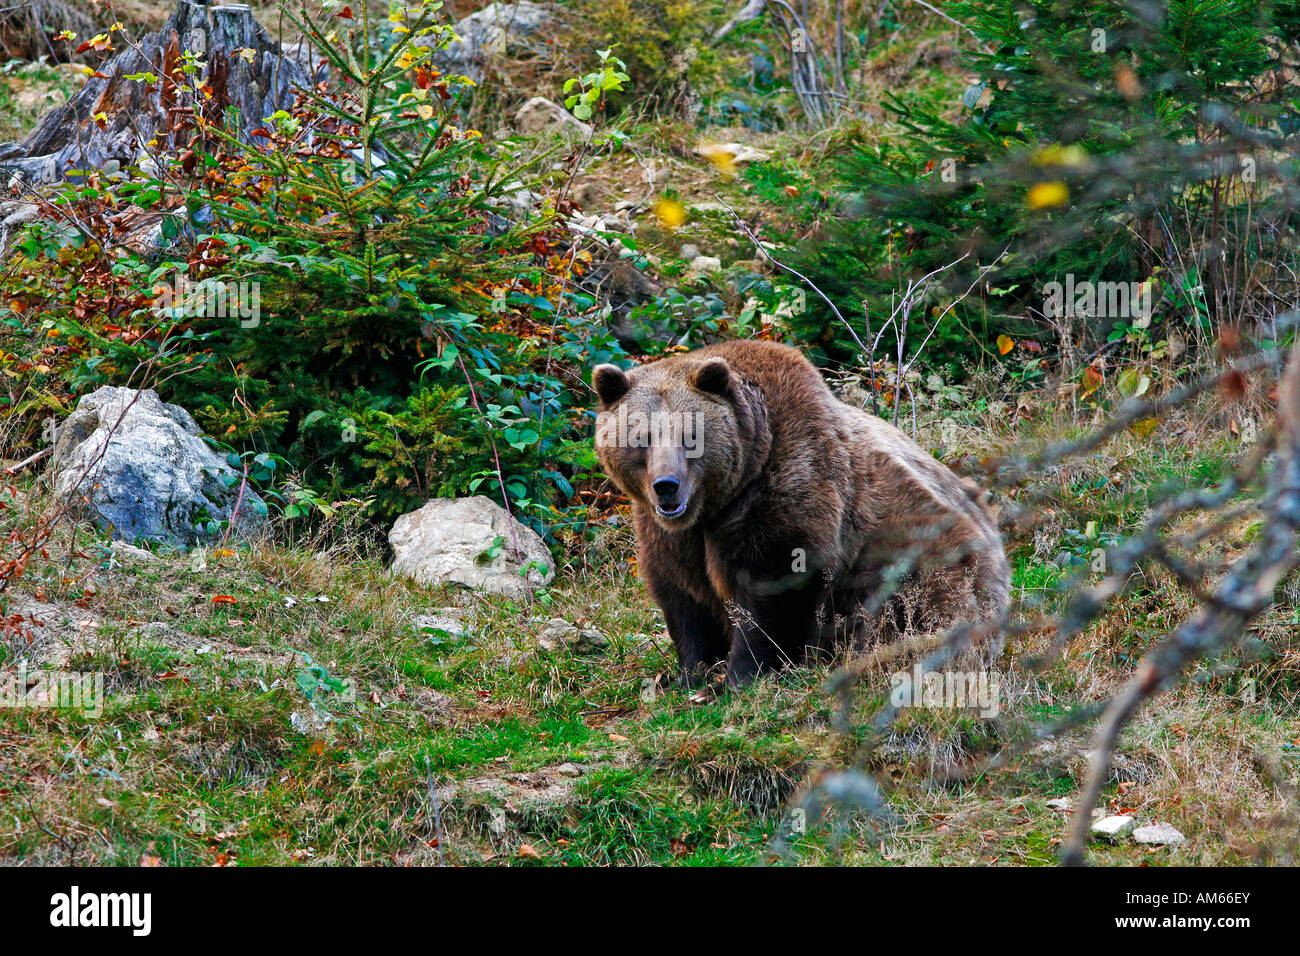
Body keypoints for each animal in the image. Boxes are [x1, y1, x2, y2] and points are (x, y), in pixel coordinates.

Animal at [592, 340, 1010, 688]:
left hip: (927, 550)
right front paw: (690, 674)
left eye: (690, 437)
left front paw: (740, 676)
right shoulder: (669, 534)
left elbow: (772, 589)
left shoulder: (787, 490)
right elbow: (683, 596)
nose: (667, 485)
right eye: (641, 437)